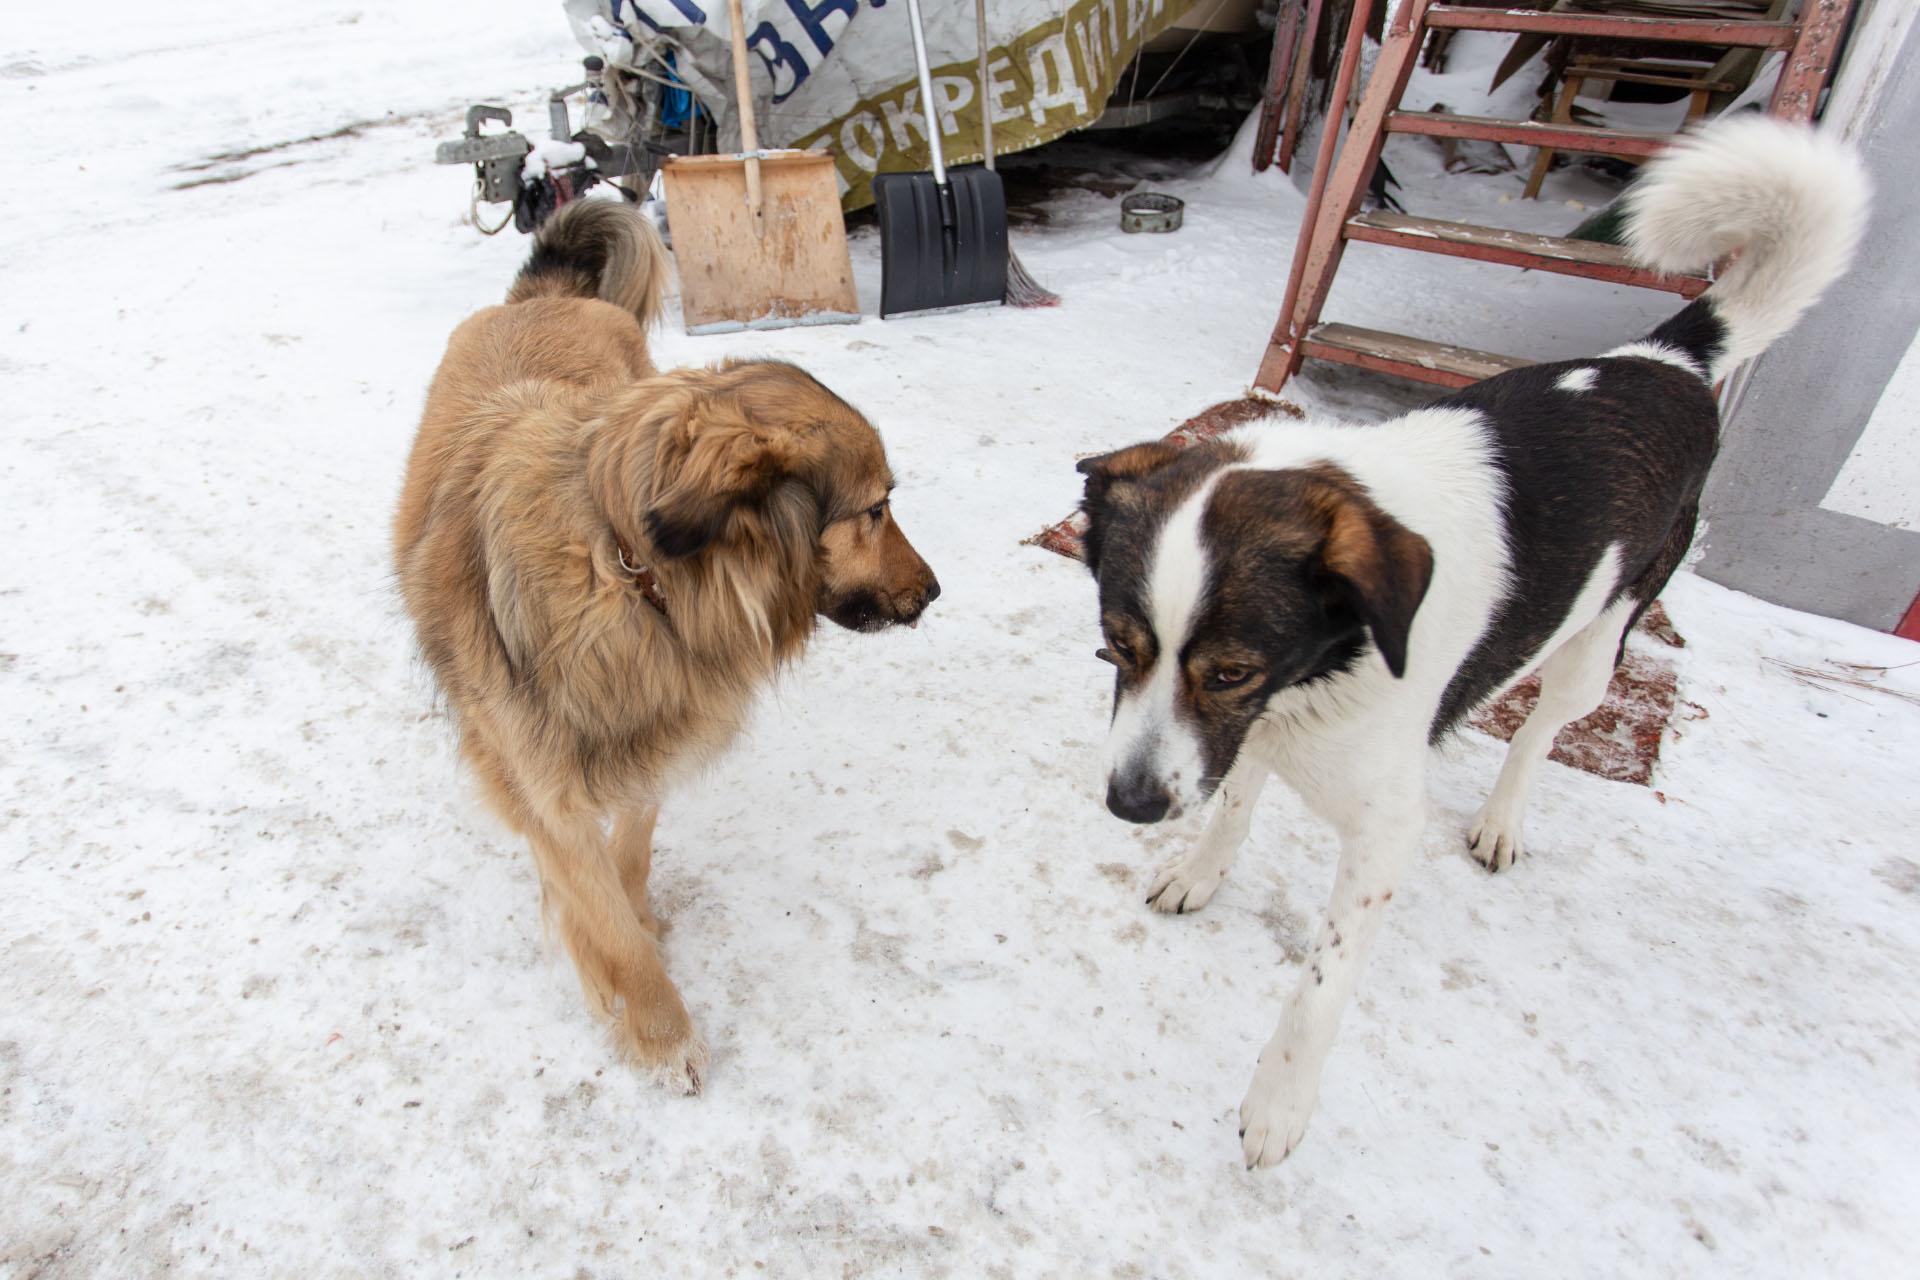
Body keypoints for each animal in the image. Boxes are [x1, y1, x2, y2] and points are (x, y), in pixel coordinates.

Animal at [393, 202, 933, 1090]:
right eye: (875, 511)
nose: (935, 591)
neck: (633, 574)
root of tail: (545, 295)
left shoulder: (658, 731)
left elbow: (631, 856)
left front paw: (632, 920)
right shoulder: (547, 785)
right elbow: (598, 909)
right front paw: (657, 1029)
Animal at [1082, 119, 1873, 1174]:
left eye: (1232, 669)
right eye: (1113, 647)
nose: (1129, 807)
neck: (1323, 669)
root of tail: (1661, 358)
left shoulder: (1372, 821)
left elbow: (1321, 986)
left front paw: (1280, 1102)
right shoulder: (1249, 733)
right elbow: (1232, 804)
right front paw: (1202, 870)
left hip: (1599, 641)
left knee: (1539, 729)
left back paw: (1501, 819)